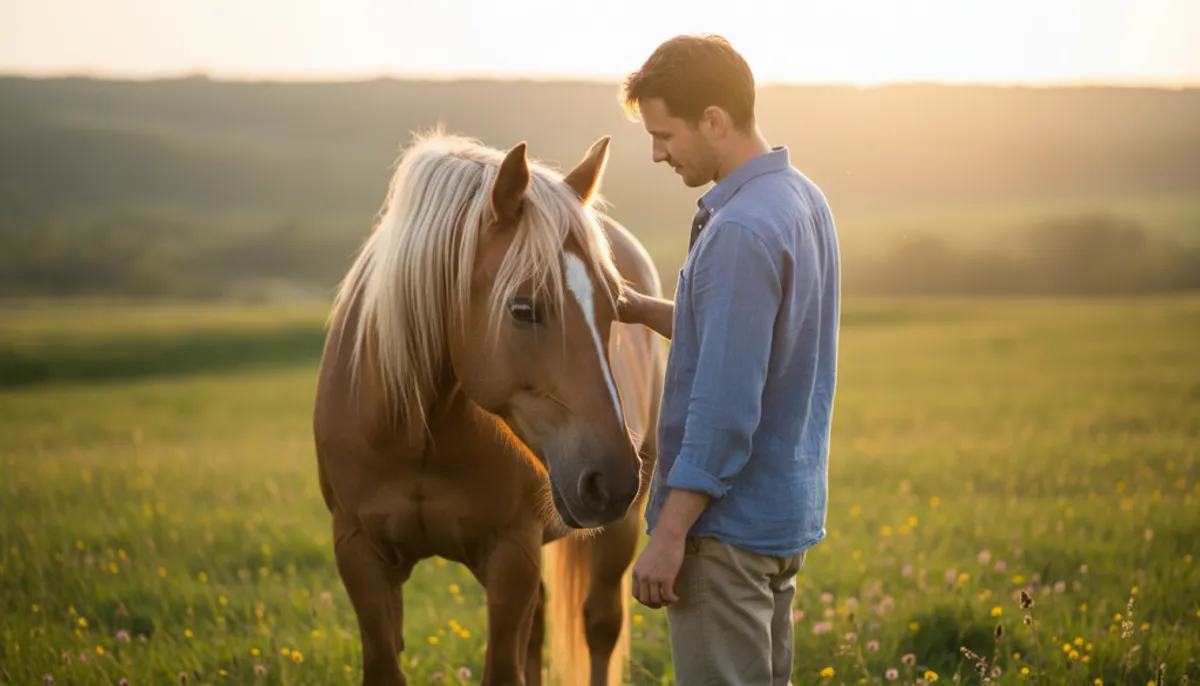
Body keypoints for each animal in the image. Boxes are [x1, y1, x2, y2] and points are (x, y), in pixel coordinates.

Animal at [313, 130, 665, 686]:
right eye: (522, 308)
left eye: (616, 309)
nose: (611, 479)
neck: (417, 430)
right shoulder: (358, 552)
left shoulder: (511, 556)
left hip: (618, 532)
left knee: (599, 625)